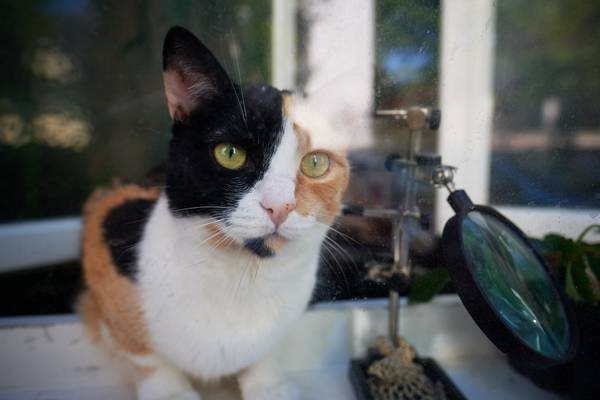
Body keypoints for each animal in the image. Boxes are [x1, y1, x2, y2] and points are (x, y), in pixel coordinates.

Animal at [80, 26, 352, 398]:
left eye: (316, 162)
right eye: (229, 153)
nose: (280, 205)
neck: (242, 278)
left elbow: (265, 354)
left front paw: (269, 386)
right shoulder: (107, 228)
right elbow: (146, 355)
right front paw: (171, 392)